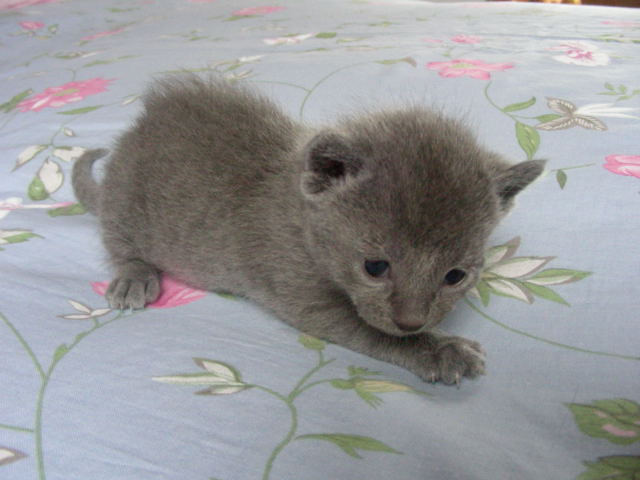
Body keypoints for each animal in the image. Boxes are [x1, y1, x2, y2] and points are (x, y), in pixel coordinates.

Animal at [72, 76, 544, 385]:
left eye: (455, 276)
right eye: (375, 267)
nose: (411, 323)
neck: (302, 217)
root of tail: (138, 129)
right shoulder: (299, 290)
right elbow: (369, 330)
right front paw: (440, 350)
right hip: (126, 198)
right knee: (118, 241)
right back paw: (134, 276)